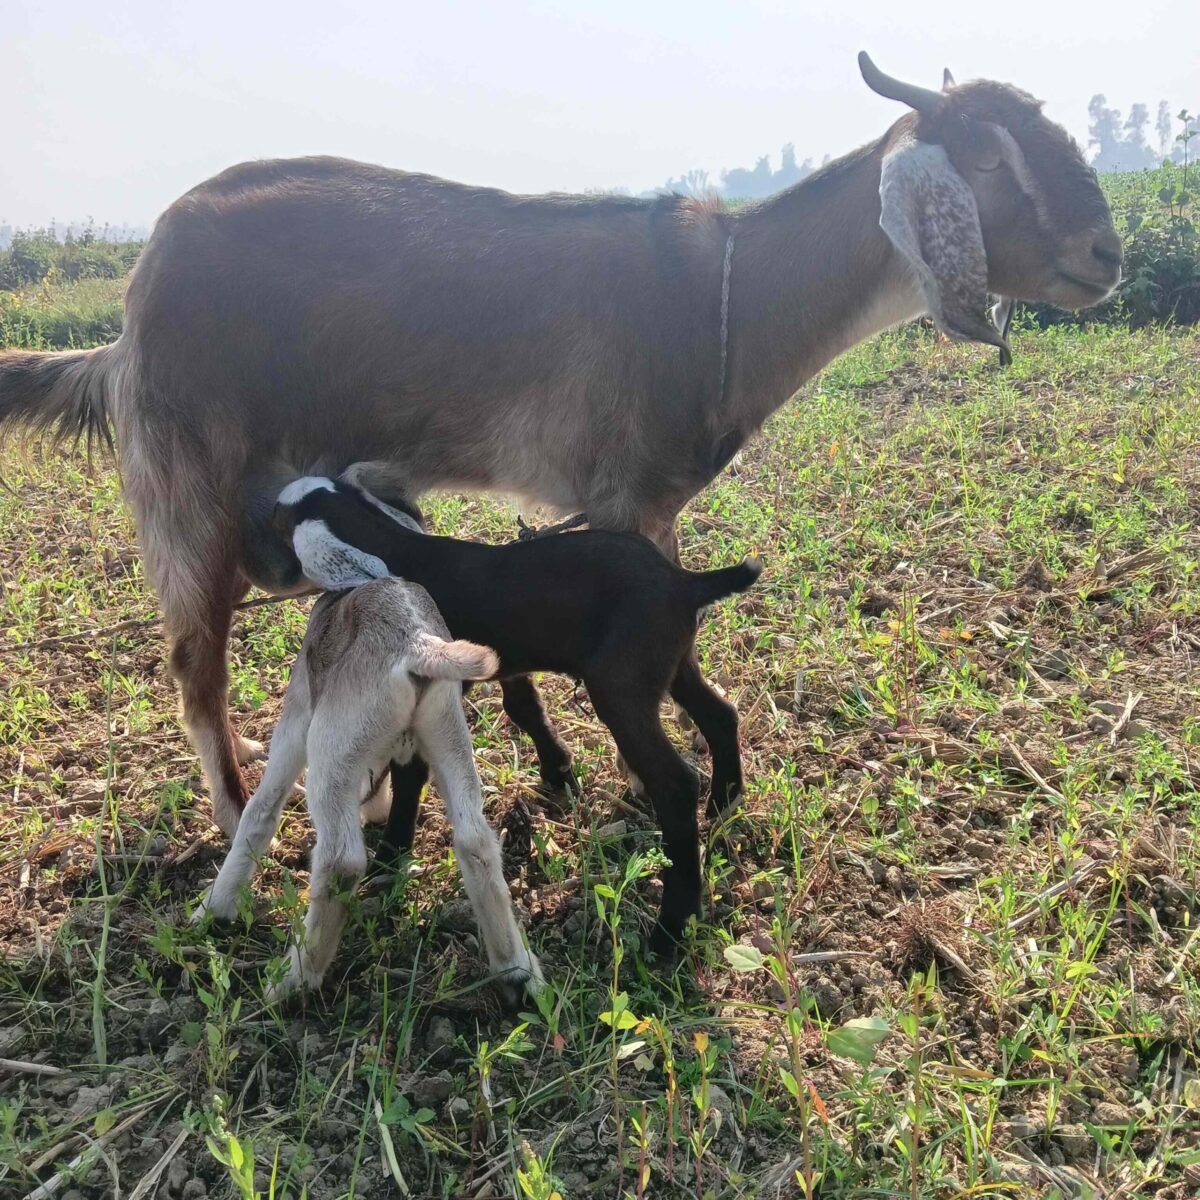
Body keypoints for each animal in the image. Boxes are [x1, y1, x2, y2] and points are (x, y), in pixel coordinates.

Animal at [0, 55, 1122, 835]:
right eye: (987, 156)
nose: (1106, 255)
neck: (722, 300)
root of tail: (132, 308)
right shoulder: (631, 498)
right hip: (188, 494)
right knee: (195, 663)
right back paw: (242, 816)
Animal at [194, 576, 543, 1002]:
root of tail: (417, 645)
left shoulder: (297, 718)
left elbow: (260, 812)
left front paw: (215, 907)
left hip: (331, 746)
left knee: (341, 861)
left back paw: (295, 977)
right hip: (447, 733)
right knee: (476, 842)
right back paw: (516, 969)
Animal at [274, 471, 762, 954]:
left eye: (279, 517)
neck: (398, 549)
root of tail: (684, 583)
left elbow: (411, 774)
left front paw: (391, 855)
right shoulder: (505, 661)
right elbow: (523, 707)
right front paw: (557, 771)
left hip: (621, 687)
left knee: (676, 784)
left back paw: (671, 926)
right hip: (673, 665)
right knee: (721, 715)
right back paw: (724, 802)